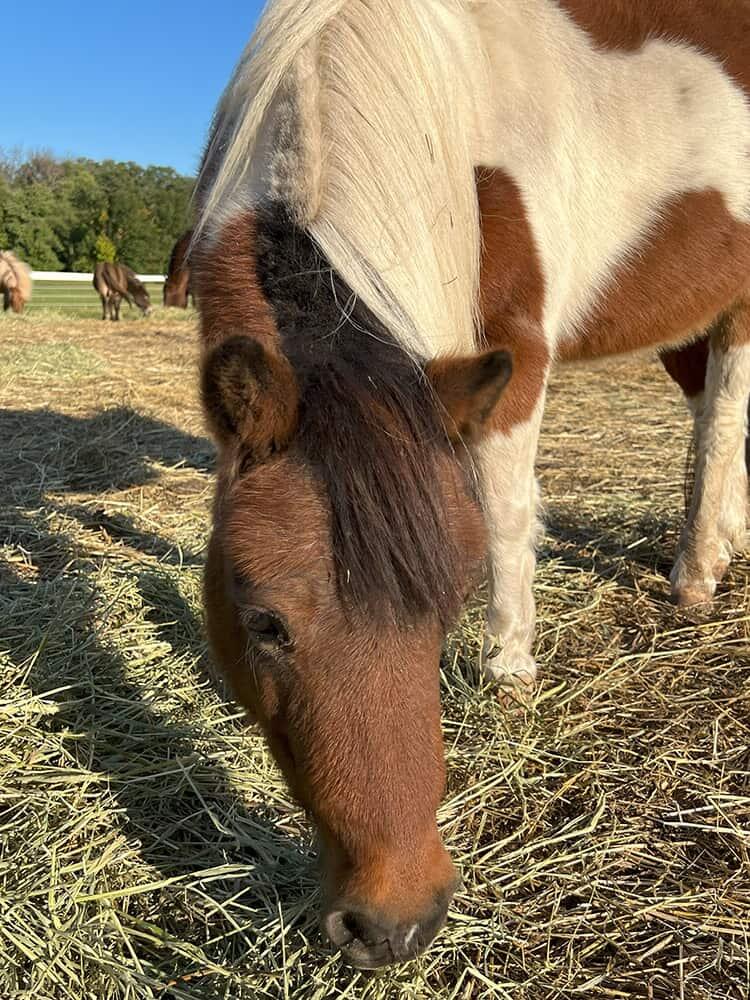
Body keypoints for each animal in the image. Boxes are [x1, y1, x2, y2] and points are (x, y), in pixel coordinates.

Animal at [191, 0, 750, 968]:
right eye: (261, 622)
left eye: (446, 607)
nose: (394, 924)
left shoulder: (514, 352)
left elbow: (504, 517)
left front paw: (508, 672)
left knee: (723, 417)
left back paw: (694, 577)